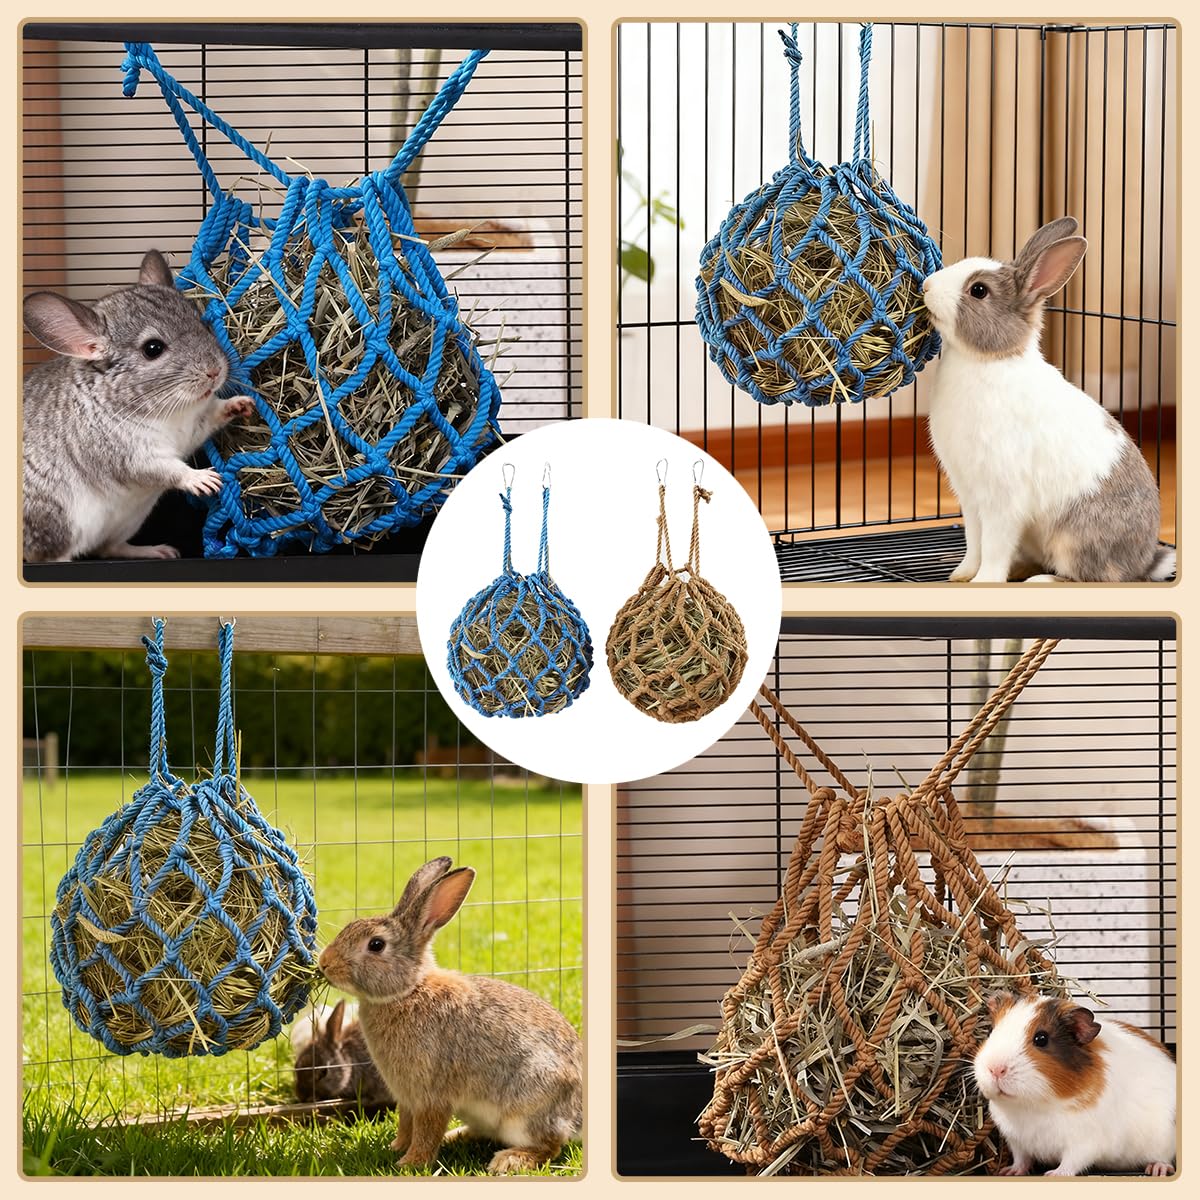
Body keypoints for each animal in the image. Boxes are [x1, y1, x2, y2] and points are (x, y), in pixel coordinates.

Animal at [22, 250, 255, 562]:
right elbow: (165, 469)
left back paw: (158, 550)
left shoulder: (193, 428)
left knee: (109, 548)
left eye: (203, 324)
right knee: (51, 557)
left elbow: (213, 414)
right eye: (152, 349)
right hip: (56, 524)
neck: (169, 411)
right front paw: (202, 479)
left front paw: (240, 404)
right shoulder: (125, 453)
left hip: (129, 520)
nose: (215, 371)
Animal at [318, 856, 583, 1175]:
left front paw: (410, 1163)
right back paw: (455, 1136)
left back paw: (509, 1160)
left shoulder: (431, 1094)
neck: (408, 992)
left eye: (376, 945)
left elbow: (426, 1129)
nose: (324, 963)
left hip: (527, 1108)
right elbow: (406, 1124)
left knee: (550, 1145)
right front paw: (397, 1147)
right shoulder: (406, 1098)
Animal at [922, 217, 1174, 583]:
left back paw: (1040, 581)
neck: (988, 361)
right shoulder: (968, 494)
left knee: (1088, 577)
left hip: (1075, 539)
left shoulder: (1002, 497)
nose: (926, 286)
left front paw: (984, 581)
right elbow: (974, 540)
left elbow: (994, 545)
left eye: (979, 290)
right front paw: (962, 575)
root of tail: (1144, 562)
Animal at [974, 992, 1176, 1177]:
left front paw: (1053, 1174)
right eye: (991, 1032)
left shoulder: (1084, 1141)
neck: (1031, 1106)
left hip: (1163, 1140)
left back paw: (1157, 1169)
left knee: (1163, 1158)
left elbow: (1071, 1162)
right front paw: (1008, 1172)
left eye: (1041, 1039)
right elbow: (1021, 1159)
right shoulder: (1016, 1141)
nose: (995, 1069)